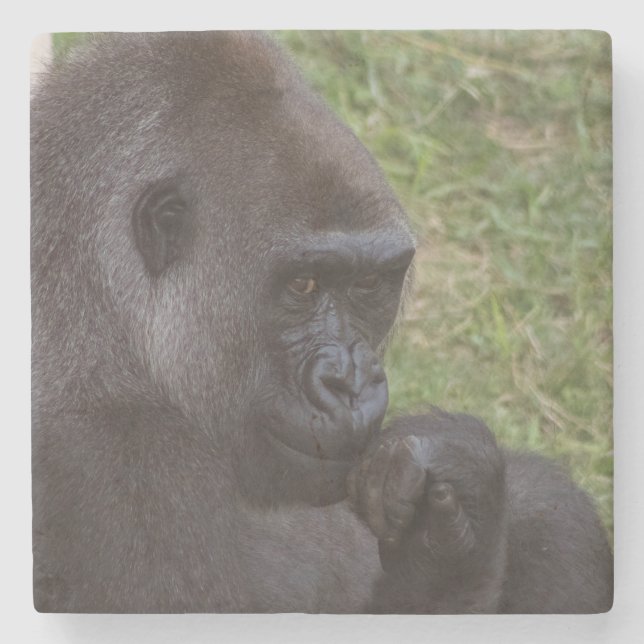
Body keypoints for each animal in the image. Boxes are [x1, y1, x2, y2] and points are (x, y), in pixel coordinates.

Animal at [31, 31, 612, 613]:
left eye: (368, 283)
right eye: (303, 285)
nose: (351, 382)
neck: (101, 321)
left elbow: (551, 508)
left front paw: (469, 475)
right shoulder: (113, 465)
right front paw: (450, 548)